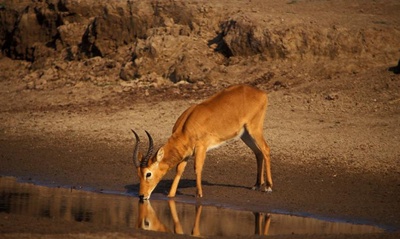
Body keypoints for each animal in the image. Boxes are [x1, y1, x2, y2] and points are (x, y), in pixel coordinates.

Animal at [131, 84, 272, 200]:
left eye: (148, 174)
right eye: (138, 174)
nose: (142, 195)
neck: (186, 127)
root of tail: (261, 93)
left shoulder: (201, 147)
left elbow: (197, 168)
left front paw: (199, 193)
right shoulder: (186, 154)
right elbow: (179, 170)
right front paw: (171, 194)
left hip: (254, 129)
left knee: (265, 149)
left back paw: (268, 187)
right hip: (245, 134)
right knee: (258, 153)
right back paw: (257, 184)